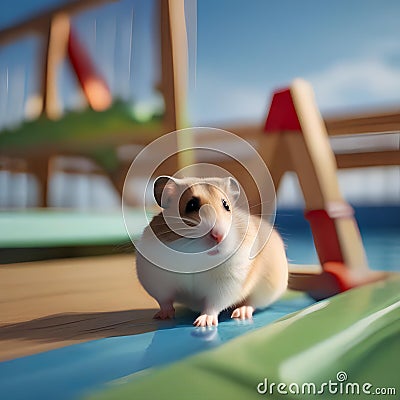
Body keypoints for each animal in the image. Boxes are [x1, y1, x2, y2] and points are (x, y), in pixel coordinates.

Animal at [134, 177, 288, 326]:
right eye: (191, 205)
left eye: (226, 205)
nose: (219, 236)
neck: (196, 256)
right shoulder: (156, 280)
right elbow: (164, 301)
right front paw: (161, 317)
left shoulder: (225, 284)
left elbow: (213, 305)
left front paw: (202, 323)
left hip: (267, 288)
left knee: (252, 303)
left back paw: (240, 313)